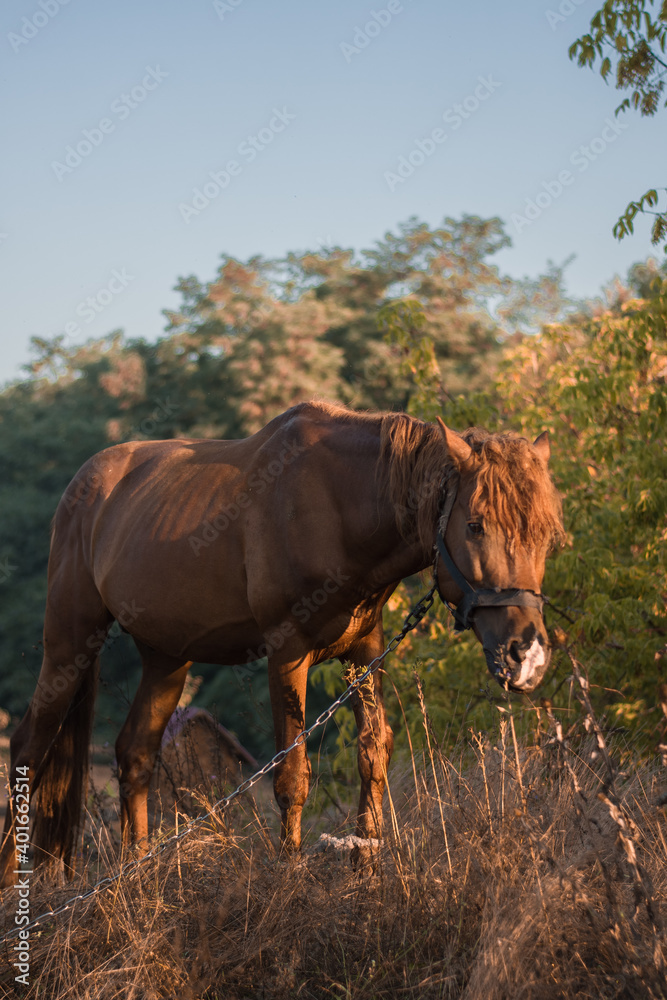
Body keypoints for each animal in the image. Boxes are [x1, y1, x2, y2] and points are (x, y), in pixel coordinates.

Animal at [0, 401, 563, 886]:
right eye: (475, 524)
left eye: (545, 534)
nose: (528, 655)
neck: (338, 505)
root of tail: (86, 483)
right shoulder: (286, 652)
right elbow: (292, 773)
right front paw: (288, 871)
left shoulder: (365, 651)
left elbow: (373, 752)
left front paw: (366, 863)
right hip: (69, 639)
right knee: (29, 745)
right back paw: (12, 879)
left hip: (167, 657)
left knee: (134, 752)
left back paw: (134, 873)